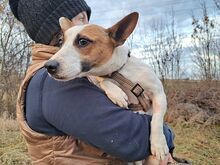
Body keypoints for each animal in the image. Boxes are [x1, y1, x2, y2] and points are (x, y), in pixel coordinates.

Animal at [44, 11, 168, 164]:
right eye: (61, 42)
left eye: (83, 41)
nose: (48, 66)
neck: (118, 72)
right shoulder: (101, 77)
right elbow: (104, 81)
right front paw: (117, 94)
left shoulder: (159, 94)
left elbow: (157, 119)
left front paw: (159, 144)